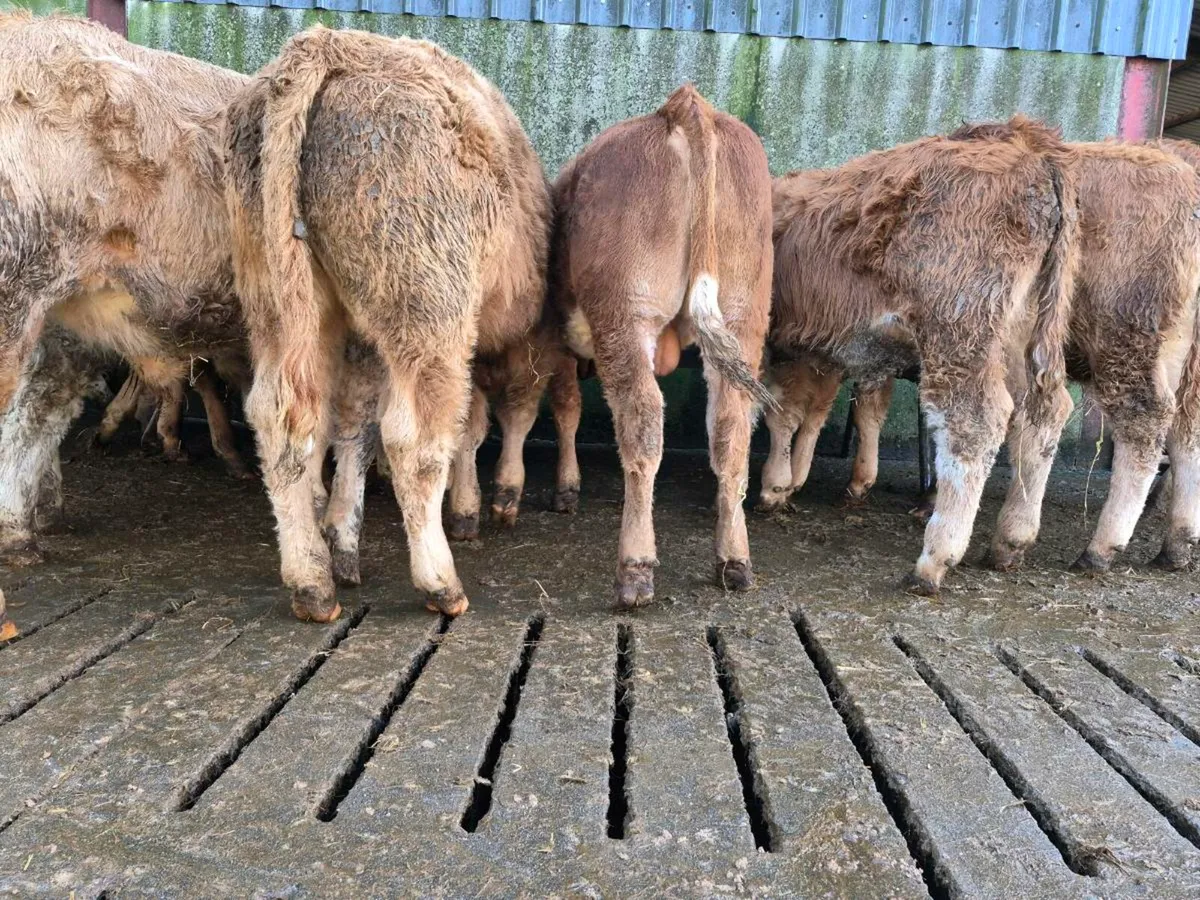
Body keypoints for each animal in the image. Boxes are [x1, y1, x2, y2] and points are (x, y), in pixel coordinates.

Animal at [225, 26, 559, 622]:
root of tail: (326, 47)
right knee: (416, 440)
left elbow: (353, 425)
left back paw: (311, 580)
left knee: (280, 418)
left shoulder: (359, 340)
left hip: (280, 304)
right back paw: (439, 582)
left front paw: (343, 538)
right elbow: (487, 421)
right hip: (428, 314)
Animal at [551, 85, 775, 608]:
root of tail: (683, 106)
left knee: (642, 423)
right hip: (743, 315)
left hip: (625, 314)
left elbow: (566, 408)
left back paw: (634, 569)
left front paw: (566, 488)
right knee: (731, 430)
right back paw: (734, 560)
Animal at [765, 117, 1078, 595]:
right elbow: (806, 411)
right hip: (1023, 334)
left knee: (976, 420)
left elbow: (779, 411)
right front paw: (789, 481)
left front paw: (773, 485)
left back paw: (935, 557)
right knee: (1043, 413)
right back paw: (1012, 538)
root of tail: (1028, 145)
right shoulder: (810, 350)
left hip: (960, 332)